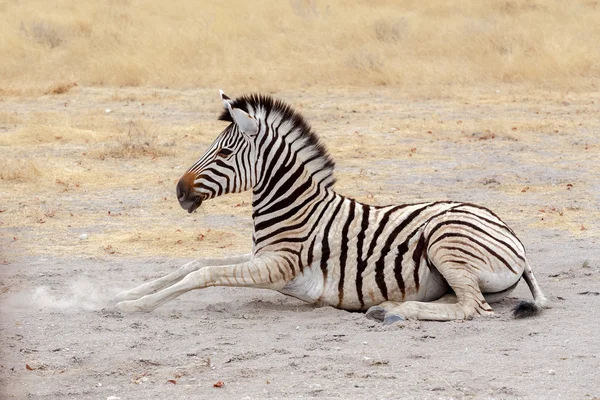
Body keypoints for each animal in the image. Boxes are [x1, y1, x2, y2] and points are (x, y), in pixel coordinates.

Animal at [113, 90, 548, 322]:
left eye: (222, 153)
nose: (179, 191)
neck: (296, 208)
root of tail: (514, 238)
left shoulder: (278, 266)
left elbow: (201, 275)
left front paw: (135, 305)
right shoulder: (260, 255)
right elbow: (192, 264)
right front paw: (121, 293)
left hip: (446, 241)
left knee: (472, 308)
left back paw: (396, 311)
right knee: (458, 300)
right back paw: (389, 305)